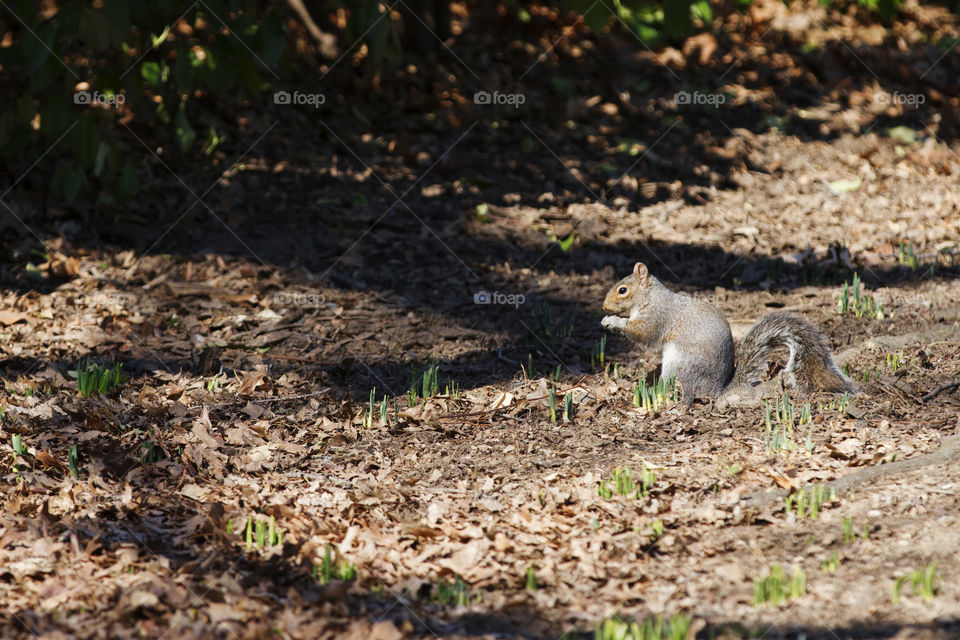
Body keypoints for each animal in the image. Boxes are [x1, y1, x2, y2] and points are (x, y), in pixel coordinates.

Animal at [600, 262, 856, 402]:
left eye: (622, 290)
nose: (603, 307)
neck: (649, 296)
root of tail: (717, 390)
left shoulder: (657, 315)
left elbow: (644, 333)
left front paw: (613, 321)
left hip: (680, 365)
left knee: (686, 393)